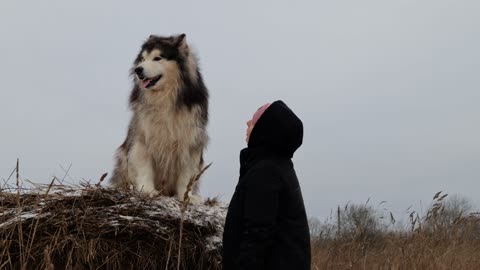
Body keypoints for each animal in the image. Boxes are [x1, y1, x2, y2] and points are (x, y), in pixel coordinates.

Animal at [112, 33, 210, 205]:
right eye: (142, 59)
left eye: (157, 58)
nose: (138, 69)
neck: (165, 96)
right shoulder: (143, 137)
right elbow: (145, 167)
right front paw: (147, 190)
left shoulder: (191, 140)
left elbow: (186, 174)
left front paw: (187, 196)